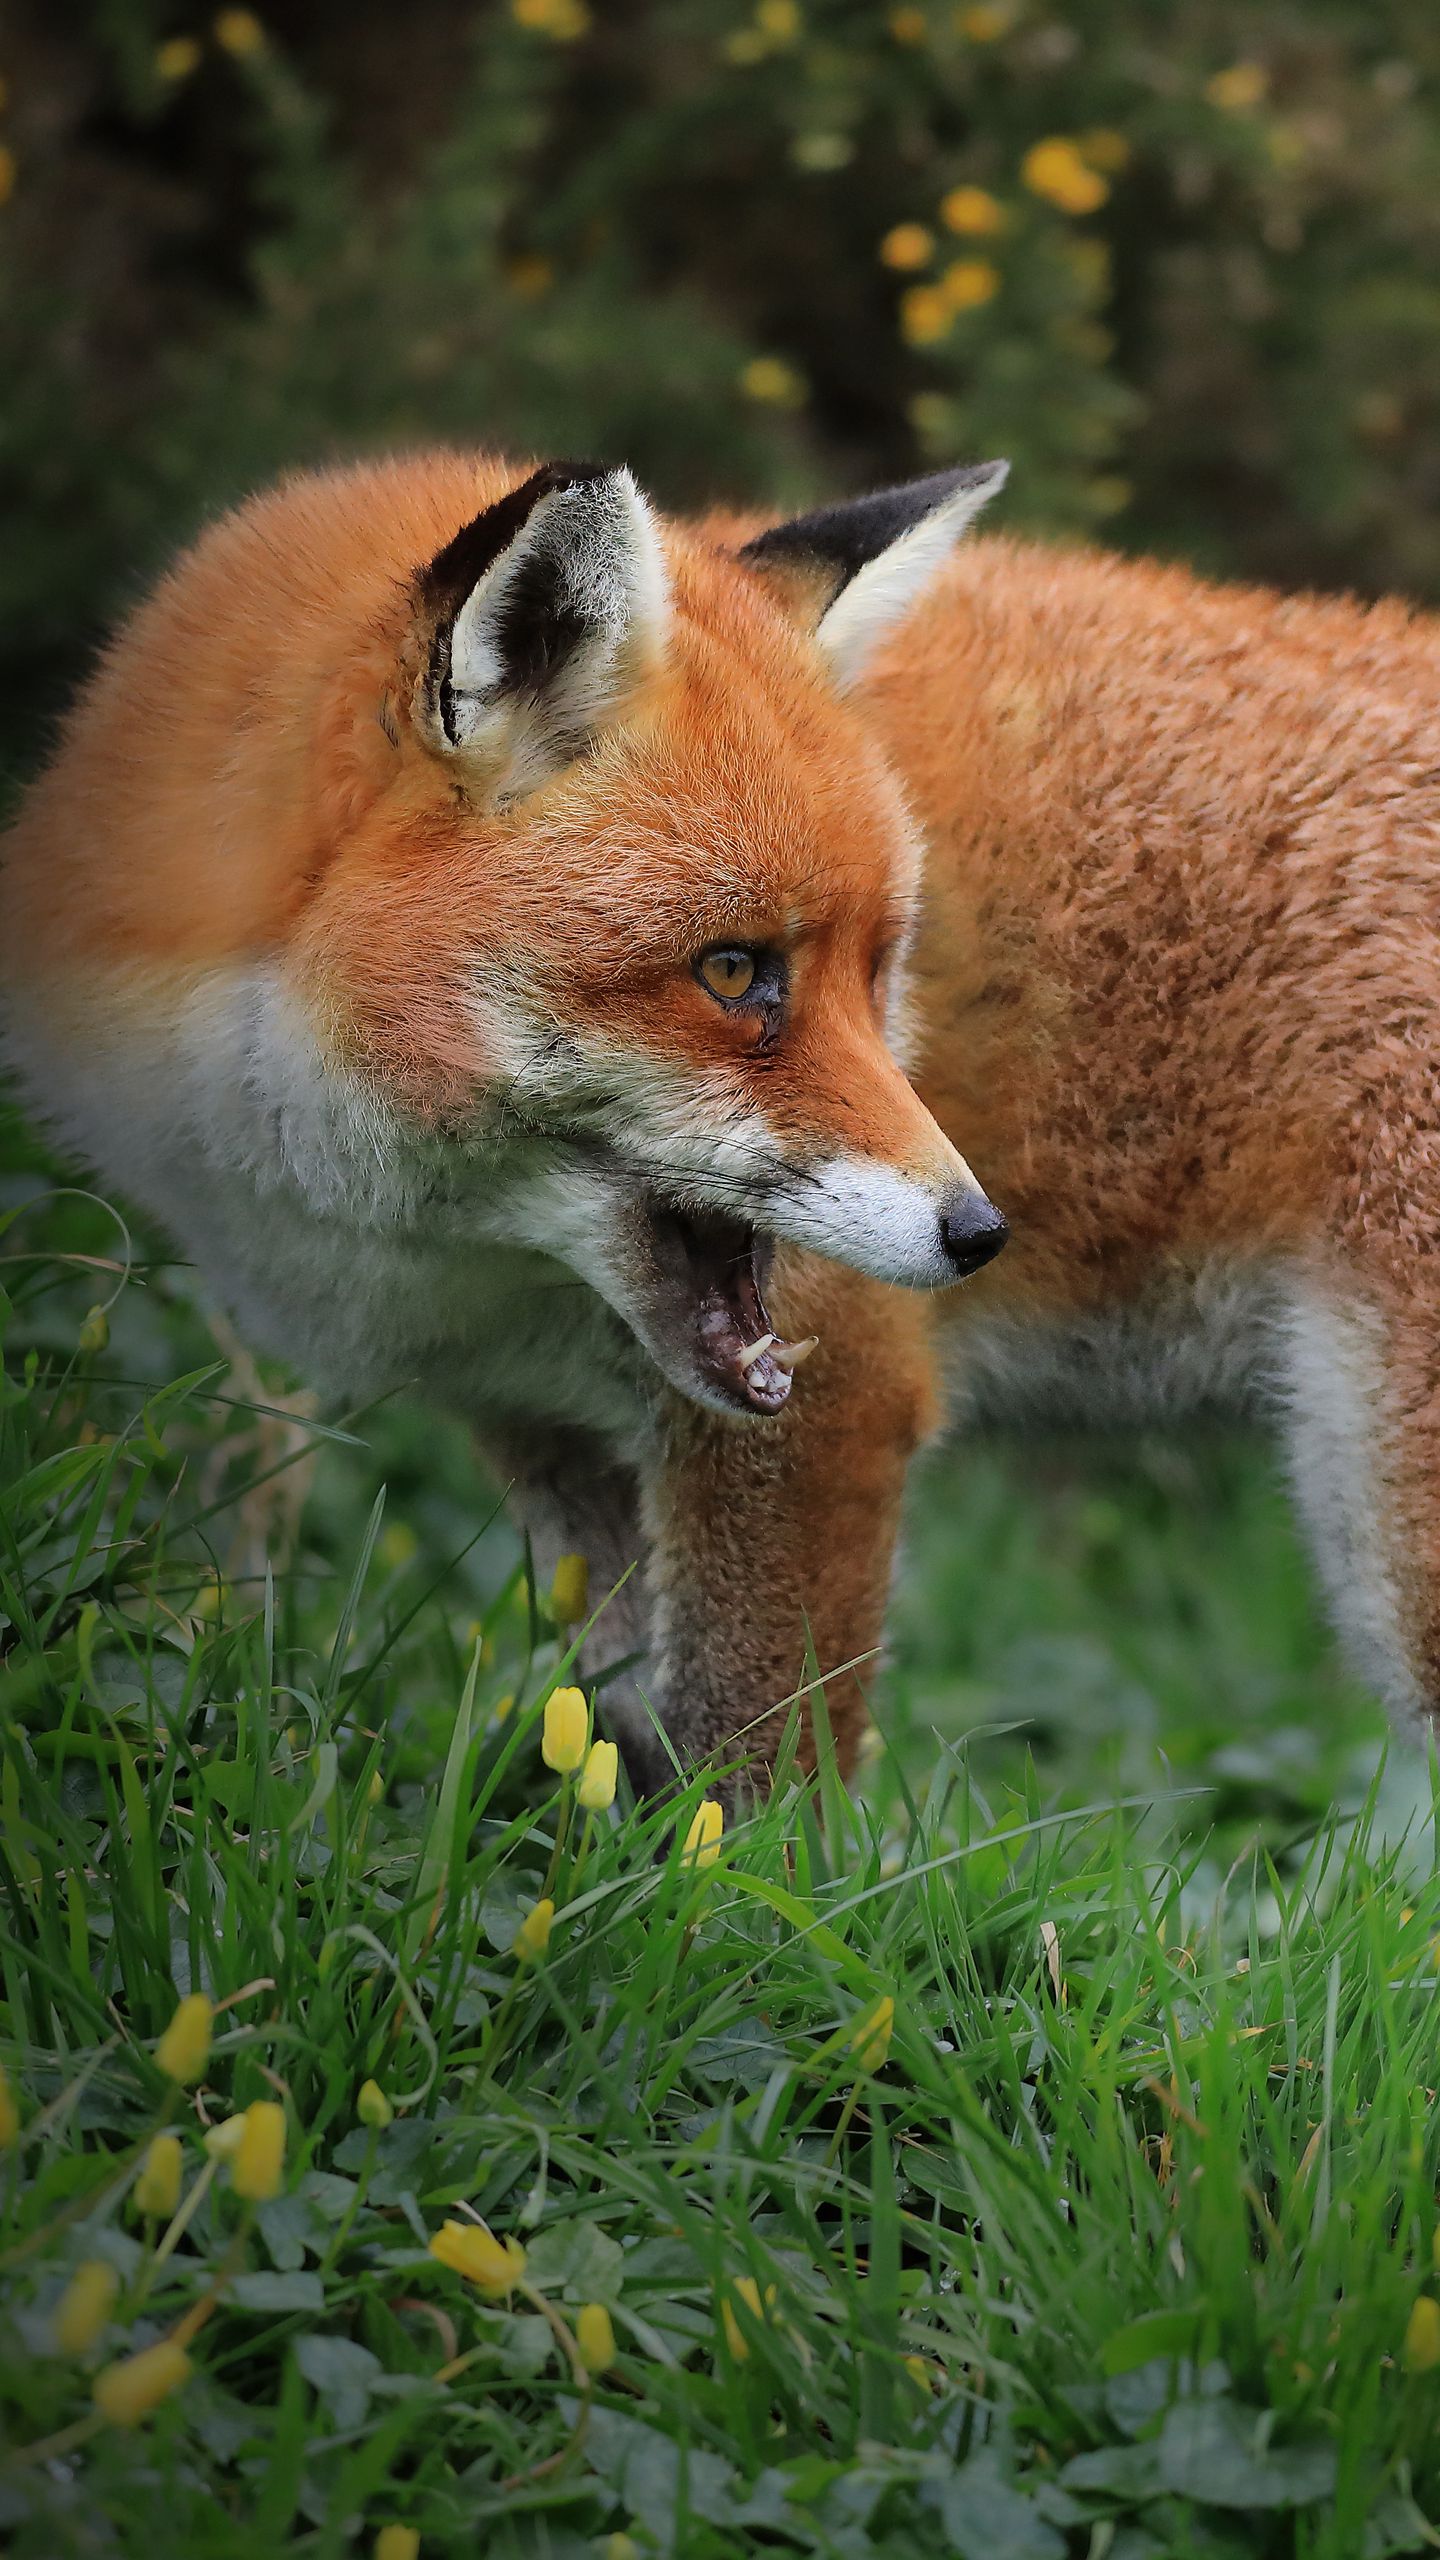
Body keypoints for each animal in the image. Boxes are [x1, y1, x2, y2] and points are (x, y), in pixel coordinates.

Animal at [3, 448, 1438, 1794]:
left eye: (880, 969)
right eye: (736, 971)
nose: (981, 1235)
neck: (449, 1262)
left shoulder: (831, 1401)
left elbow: (757, 1799)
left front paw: (749, 1900)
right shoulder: (553, 1442)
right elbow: (628, 1744)